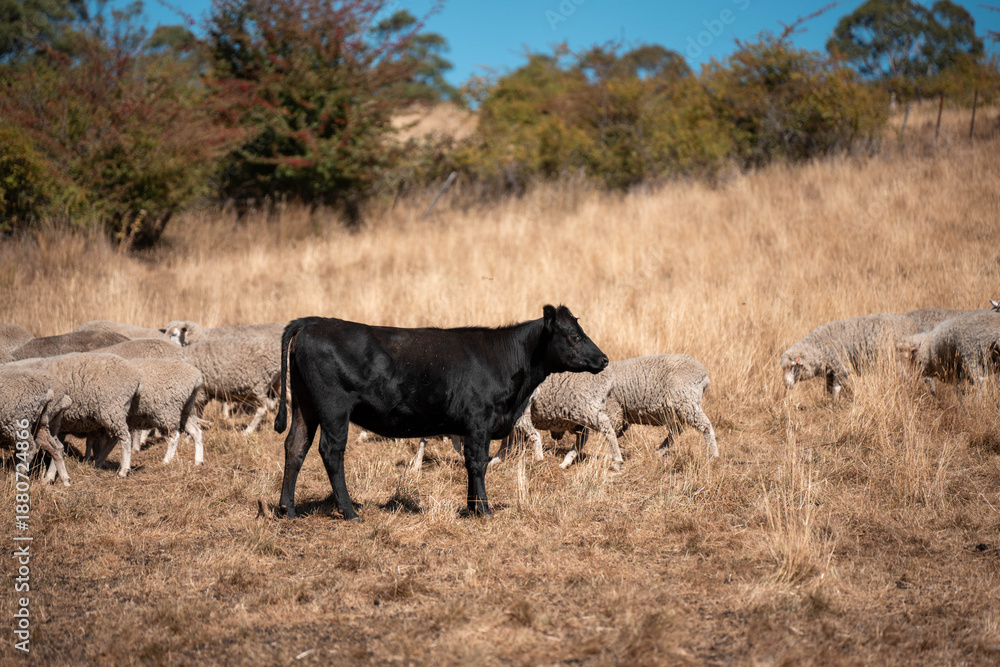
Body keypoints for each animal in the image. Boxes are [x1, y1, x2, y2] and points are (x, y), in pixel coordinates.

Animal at [6, 353, 142, 477]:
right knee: (113, 439)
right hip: (113, 413)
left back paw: (123, 470)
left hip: (112, 409)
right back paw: (98, 462)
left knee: (125, 438)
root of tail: (136, 374)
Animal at [780, 313, 921, 400]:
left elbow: (836, 388)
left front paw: (835, 404)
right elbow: (829, 389)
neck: (819, 345)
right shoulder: (830, 372)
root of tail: (912, 325)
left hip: (899, 360)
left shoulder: (841, 368)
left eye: (793, 366)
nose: (786, 385)